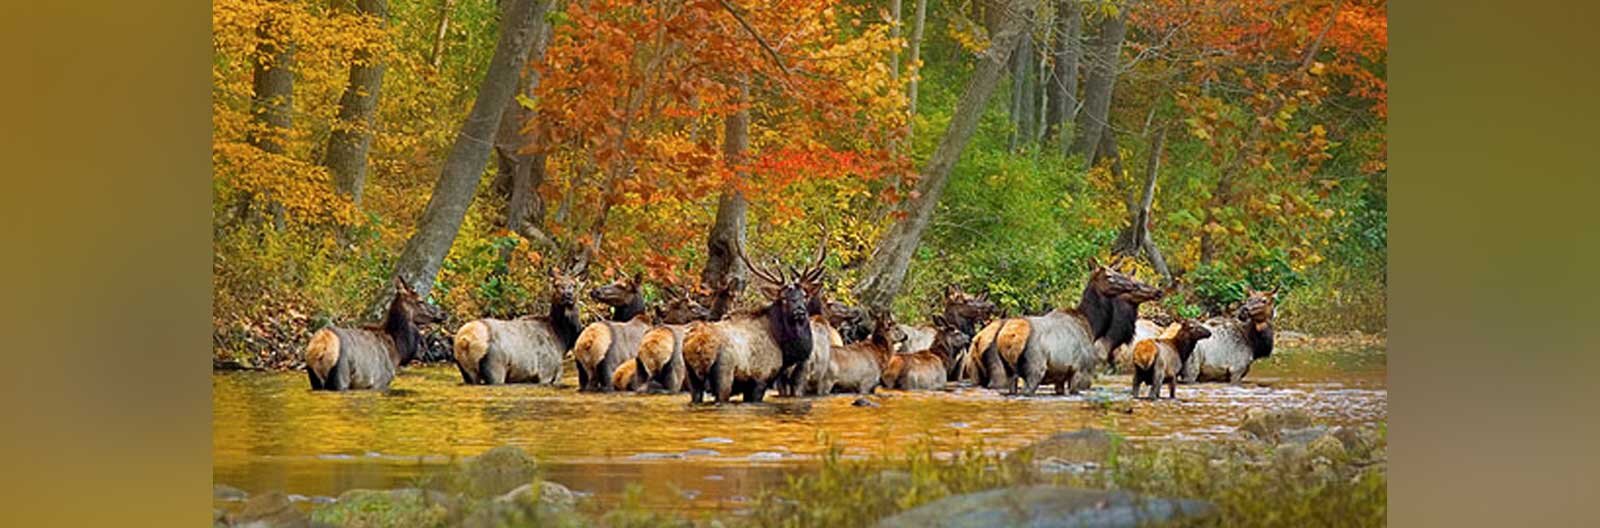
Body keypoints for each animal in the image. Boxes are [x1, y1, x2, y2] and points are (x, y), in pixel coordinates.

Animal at [302, 278, 444, 390]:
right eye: (420, 301)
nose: (443, 313)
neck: (398, 350)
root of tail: (322, 345)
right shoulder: (380, 381)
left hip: (314, 378)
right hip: (341, 377)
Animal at [454, 264, 585, 384]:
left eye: (574, 285)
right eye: (557, 285)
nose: (568, 294)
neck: (562, 340)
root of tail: (464, 340)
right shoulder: (547, 370)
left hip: (466, 372)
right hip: (495, 366)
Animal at [985, 264, 1164, 396]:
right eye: (1109, 276)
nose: (1158, 291)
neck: (1093, 327)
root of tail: (1009, 337)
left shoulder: (1060, 376)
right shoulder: (1080, 371)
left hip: (1010, 372)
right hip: (1035, 368)